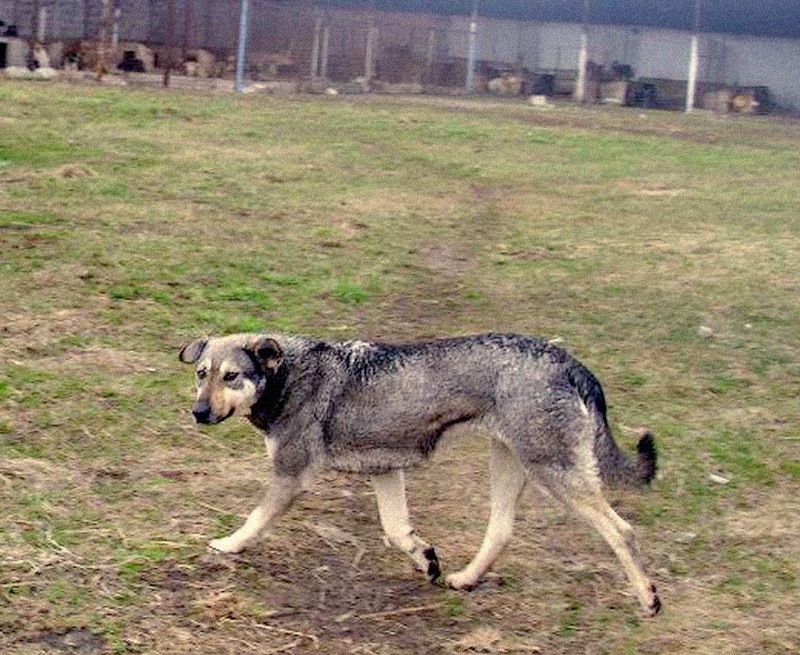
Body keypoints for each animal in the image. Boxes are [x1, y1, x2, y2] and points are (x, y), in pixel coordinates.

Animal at [181, 336, 664, 616]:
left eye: (232, 376)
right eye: (202, 374)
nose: (198, 413)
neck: (287, 376)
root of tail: (568, 362)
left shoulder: (290, 475)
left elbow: (254, 519)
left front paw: (227, 545)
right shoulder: (385, 472)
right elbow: (397, 531)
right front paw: (426, 559)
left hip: (554, 473)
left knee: (622, 531)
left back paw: (648, 598)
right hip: (510, 465)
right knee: (501, 530)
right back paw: (465, 579)